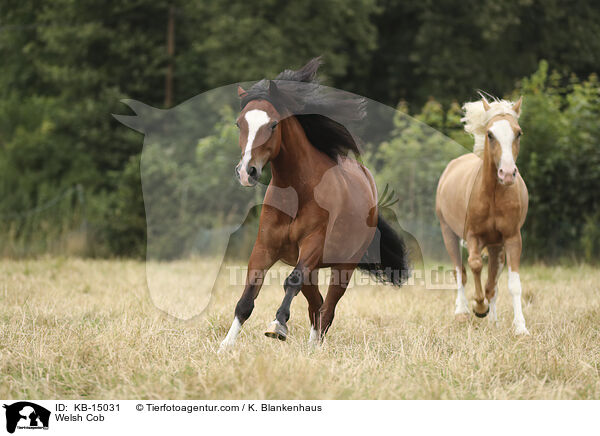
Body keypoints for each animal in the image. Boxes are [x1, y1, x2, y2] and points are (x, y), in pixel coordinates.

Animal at [218, 58, 410, 350]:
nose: (246, 172)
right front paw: (226, 346)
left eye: (273, 124)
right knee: (316, 305)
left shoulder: (313, 245)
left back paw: (313, 348)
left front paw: (277, 326)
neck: (297, 193)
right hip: (314, 268)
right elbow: (247, 297)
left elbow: (291, 282)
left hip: (343, 266)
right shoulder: (265, 247)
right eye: (239, 124)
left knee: (327, 308)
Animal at [436, 95, 528, 334]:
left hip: (496, 247)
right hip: (448, 233)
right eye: (490, 134)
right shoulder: (472, 235)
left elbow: (511, 284)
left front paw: (520, 328)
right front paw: (478, 307)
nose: (507, 174)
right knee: (460, 271)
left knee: (492, 281)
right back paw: (462, 312)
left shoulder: (512, 238)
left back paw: (492, 319)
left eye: (518, 132)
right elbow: (475, 265)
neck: (493, 193)